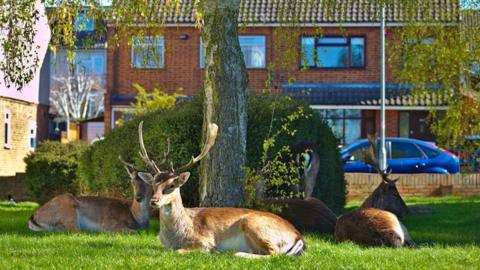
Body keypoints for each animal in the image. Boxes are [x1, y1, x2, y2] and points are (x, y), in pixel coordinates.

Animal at [135, 122, 306, 258]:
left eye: (172, 185)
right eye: (153, 184)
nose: (154, 201)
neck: (176, 237)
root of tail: (299, 237)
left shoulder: (204, 240)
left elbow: (179, 251)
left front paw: (213, 251)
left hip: (255, 224)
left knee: (275, 254)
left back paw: (237, 253)